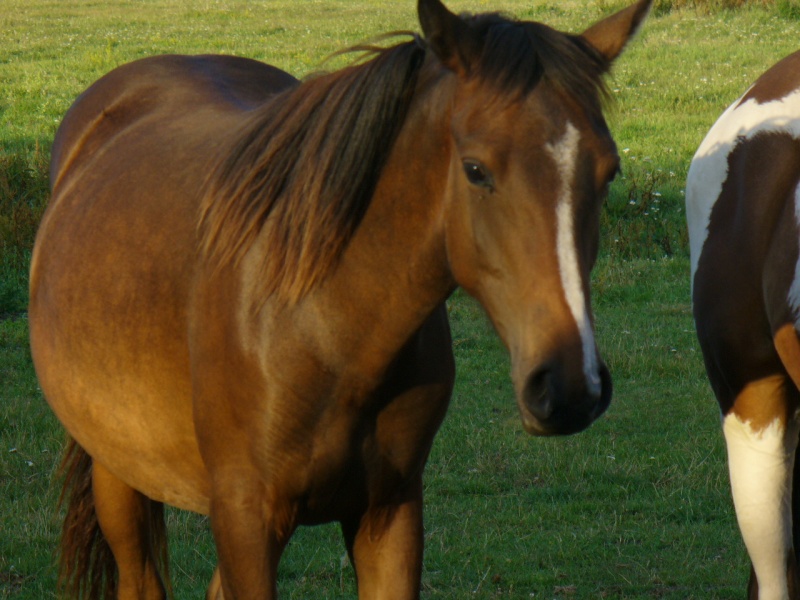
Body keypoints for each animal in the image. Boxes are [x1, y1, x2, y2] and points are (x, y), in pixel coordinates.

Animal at [31, 1, 652, 596]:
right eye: (476, 170)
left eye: (609, 172)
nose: (570, 386)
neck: (324, 326)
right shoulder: (245, 521)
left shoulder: (389, 513)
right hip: (118, 475)